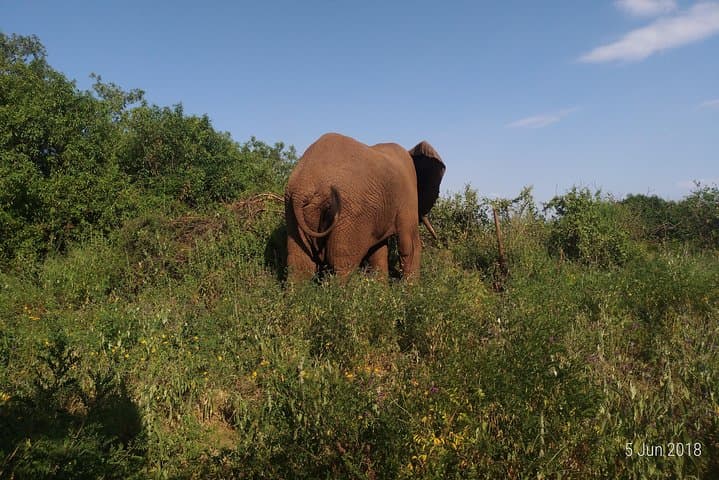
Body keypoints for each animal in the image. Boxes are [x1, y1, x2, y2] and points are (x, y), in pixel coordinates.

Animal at [284, 132, 445, 281]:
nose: (438, 241)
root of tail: (303, 189)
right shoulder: (407, 196)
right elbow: (410, 246)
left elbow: (378, 251)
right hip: (348, 215)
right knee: (343, 265)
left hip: (294, 210)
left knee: (300, 265)